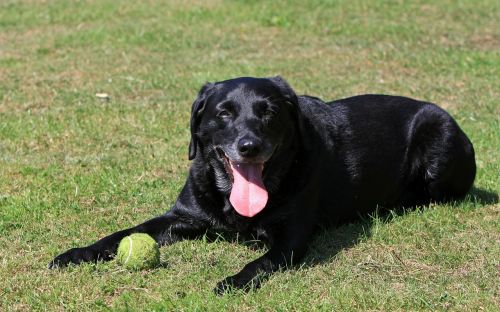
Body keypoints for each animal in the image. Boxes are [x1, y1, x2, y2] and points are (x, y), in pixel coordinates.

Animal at [50, 77, 476, 294]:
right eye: (223, 113)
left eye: (269, 113)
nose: (249, 145)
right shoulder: (183, 215)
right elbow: (121, 234)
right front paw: (76, 254)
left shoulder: (291, 238)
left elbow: (261, 261)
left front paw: (232, 281)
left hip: (438, 139)